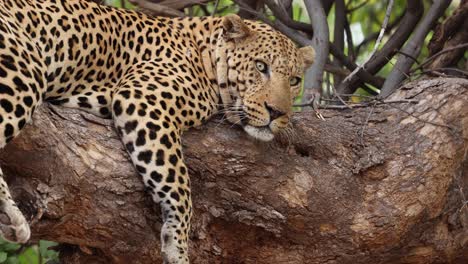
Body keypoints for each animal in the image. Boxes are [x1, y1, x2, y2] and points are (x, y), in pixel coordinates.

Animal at [0, 0, 314, 260]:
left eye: (295, 80)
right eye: (261, 66)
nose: (278, 113)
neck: (205, 53)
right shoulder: (142, 99)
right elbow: (179, 184)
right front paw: (178, 245)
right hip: (23, 73)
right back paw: (9, 214)